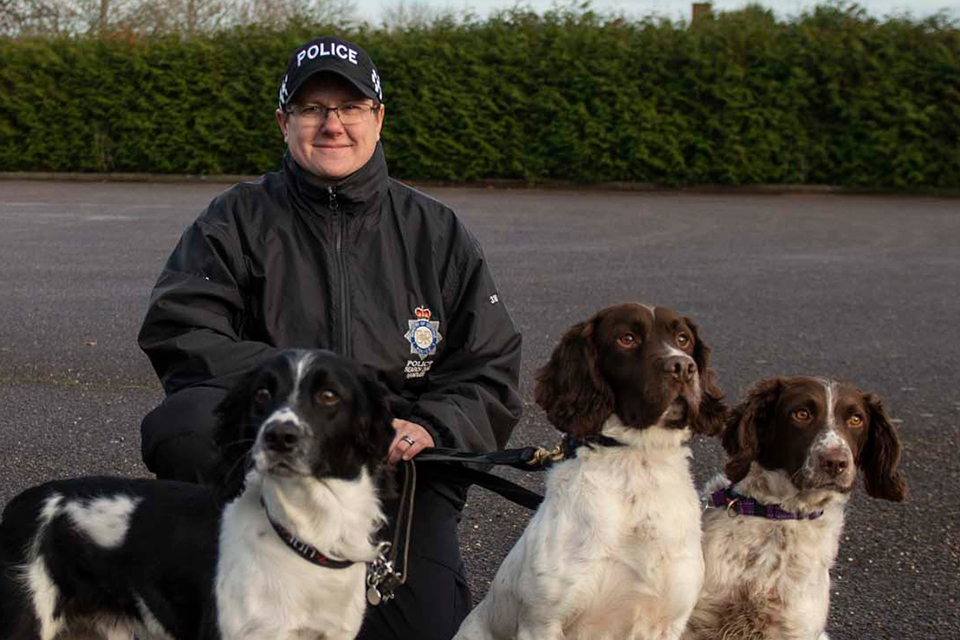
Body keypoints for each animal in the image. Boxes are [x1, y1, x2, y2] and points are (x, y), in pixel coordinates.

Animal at [454, 304, 724, 640]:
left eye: (683, 338)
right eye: (627, 338)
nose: (683, 367)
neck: (635, 462)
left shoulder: (667, 621)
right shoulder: (541, 622)